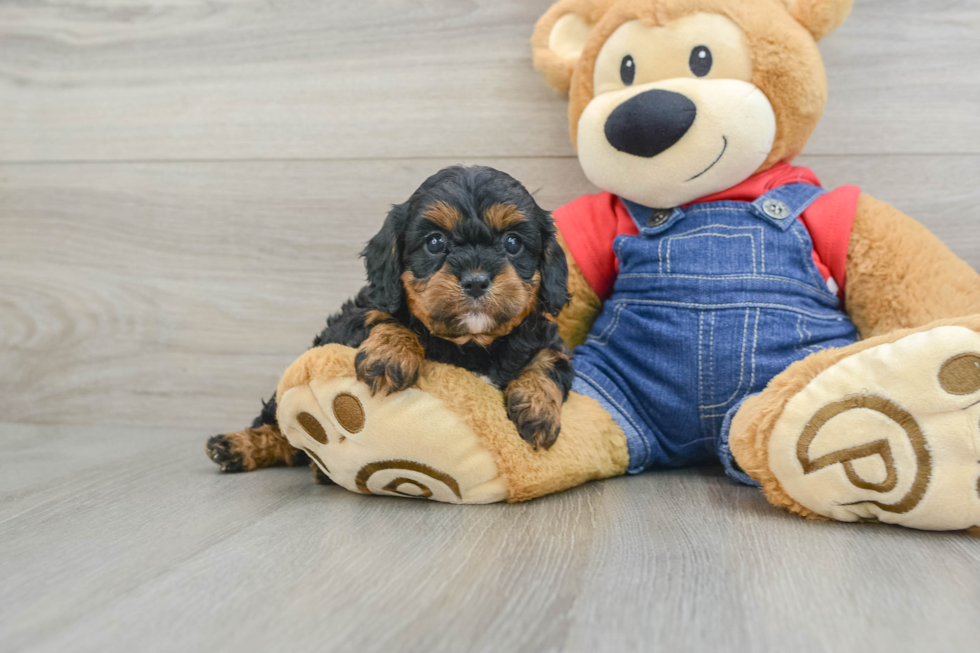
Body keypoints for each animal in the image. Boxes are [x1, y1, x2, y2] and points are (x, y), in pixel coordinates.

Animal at [207, 163, 576, 478]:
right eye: (435, 242)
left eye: (513, 242)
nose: (475, 280)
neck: (471, 343)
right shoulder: (355, 318)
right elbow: (385, 317)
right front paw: (390, 357)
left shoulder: (545, 337)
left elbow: (548, 361)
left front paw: (537, 408)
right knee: (279, 428)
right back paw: (237, 446)